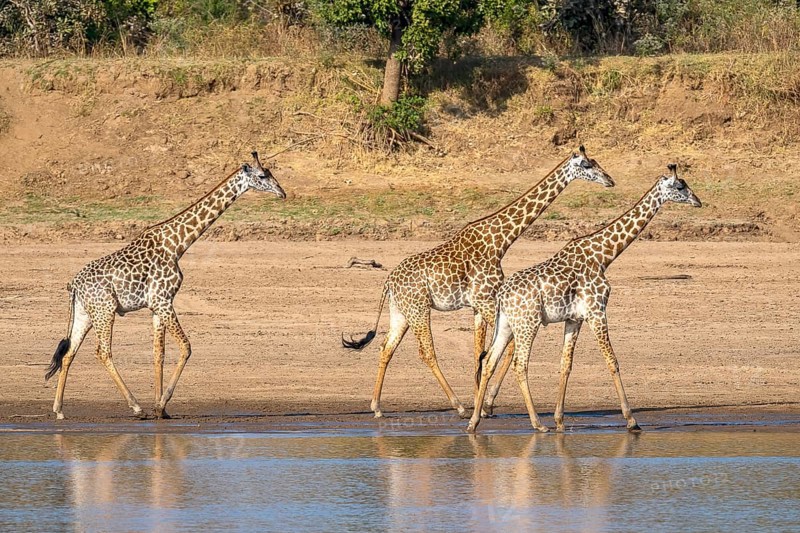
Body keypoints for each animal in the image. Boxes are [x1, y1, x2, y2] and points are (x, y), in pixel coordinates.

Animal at [44, 152, 286, 420]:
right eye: (262, 175)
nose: (282, 192)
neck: (177, 244)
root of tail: (74, 285)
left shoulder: (157, 306)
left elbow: (158, 353)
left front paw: (162, 409)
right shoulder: (163, 300)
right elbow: (186, 347)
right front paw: (160, 405)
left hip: (86, 313)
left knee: (69, 353)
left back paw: (59, 410)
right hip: (104, 310)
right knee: (103, 352)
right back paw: (136, 407)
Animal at [343, 146, 616, 418]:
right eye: (587, 165)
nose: (610, 181)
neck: (500, 241)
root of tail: (388, 281)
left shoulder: (478, 305)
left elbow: (479, 352)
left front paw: (481, 403)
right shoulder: (486, 300)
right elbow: (504, 347)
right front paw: (484, 405)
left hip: (401, 311)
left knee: (386, 347)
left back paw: (377, 407)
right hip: (418, 309)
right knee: (426, 352)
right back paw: (459, 406)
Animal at [467, 164, 702, 433]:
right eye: (680, 186)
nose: (698, 201)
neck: (603, 256)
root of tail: (502, 295)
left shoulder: (574, 318)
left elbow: (565, 365)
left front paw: (560, 420)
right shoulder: (597, 311)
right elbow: (612, 361)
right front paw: (631, 420)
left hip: (506, 324)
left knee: (488, 362)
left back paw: (474, 422)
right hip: (527, 323)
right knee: (519, 364)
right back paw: (537, 423)